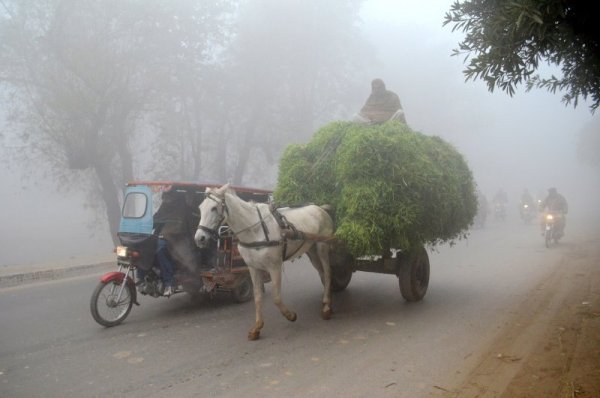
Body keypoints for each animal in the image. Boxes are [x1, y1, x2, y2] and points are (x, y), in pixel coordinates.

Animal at [197, 185, 338, 340]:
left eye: (214, 208)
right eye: (200, 208)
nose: (199, 238)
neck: (255, 230)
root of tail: (320, 208)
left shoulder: (274, 266)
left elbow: (276, 298)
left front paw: (291, 315)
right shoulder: (253, 268)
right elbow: (258, 297)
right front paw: (257, 327)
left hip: (322, 246)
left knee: (328, 272)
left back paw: (326, 307)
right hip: (311, 250)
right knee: (322, 273)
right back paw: (327, 300)